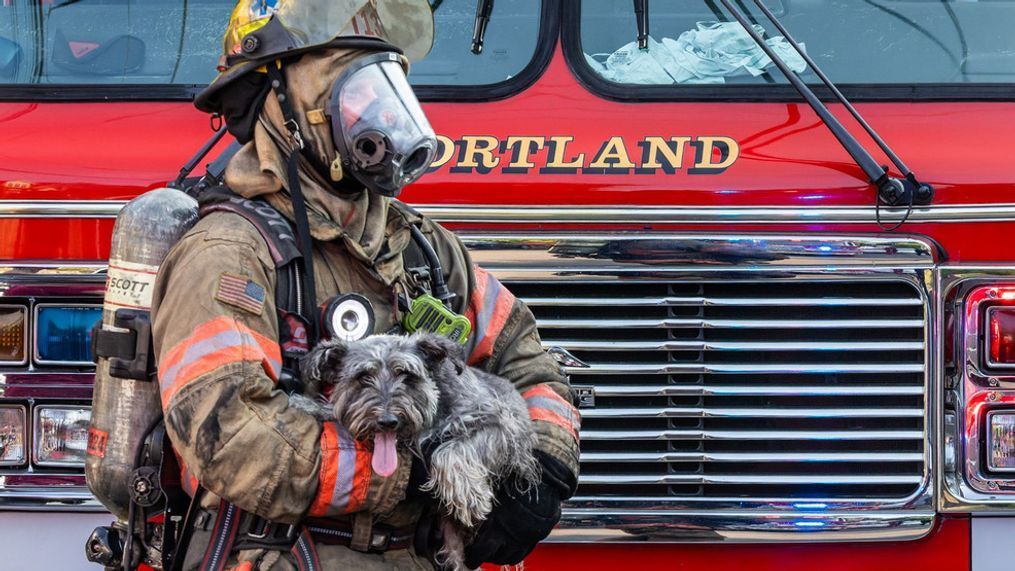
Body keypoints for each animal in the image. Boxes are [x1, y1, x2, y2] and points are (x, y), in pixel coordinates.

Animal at [290, 332, 544, 567]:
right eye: (363, 377)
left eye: (406, 374)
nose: (387, 421)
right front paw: (308, 405)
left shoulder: (501, 425)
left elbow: (448, 452)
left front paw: (468, 495)